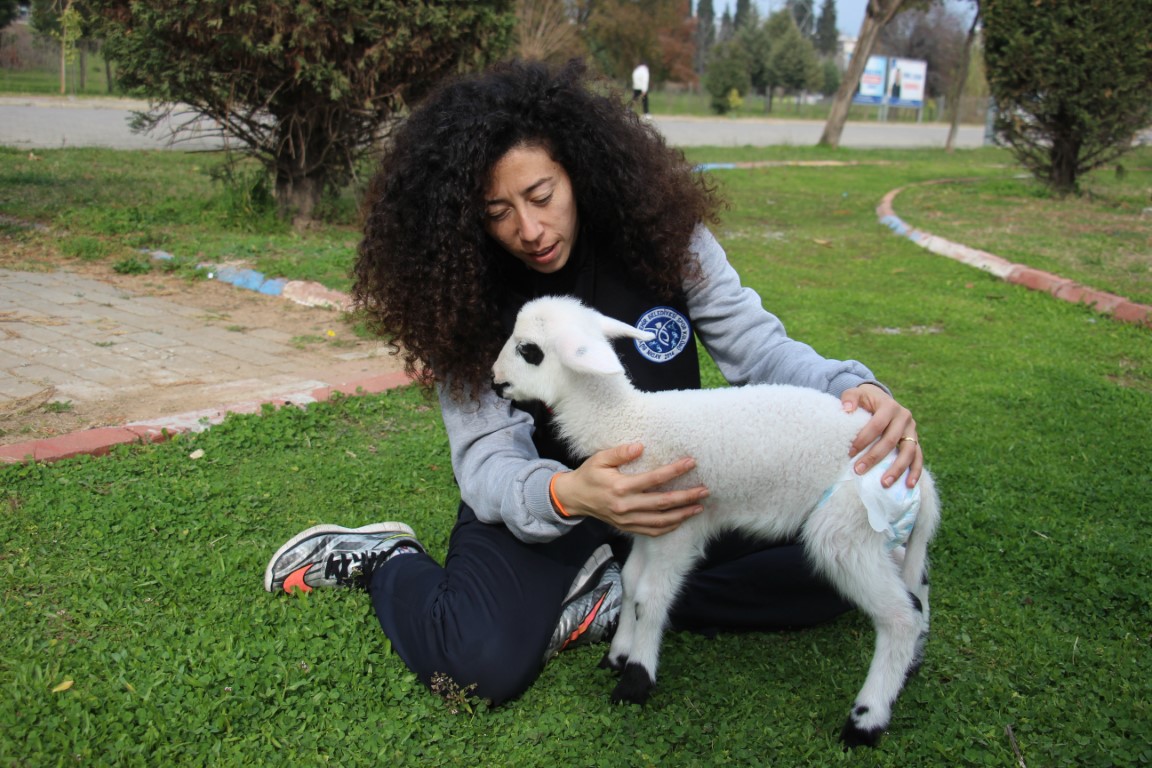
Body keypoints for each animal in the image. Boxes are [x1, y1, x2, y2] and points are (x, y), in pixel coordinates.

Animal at [490, 297, 940, 746]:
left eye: (530, 351)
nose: (495, 382)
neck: (629, 422)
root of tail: (917, 477)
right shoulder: (648, 525)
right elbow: (632, 583)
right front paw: (618, 655)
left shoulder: (679, 528)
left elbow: (649, 597)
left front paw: (636, 681)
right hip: (869, 530)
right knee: (914, 579)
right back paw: (911, 662)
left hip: (844, 527)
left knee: (900, 616)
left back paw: (866, 720)